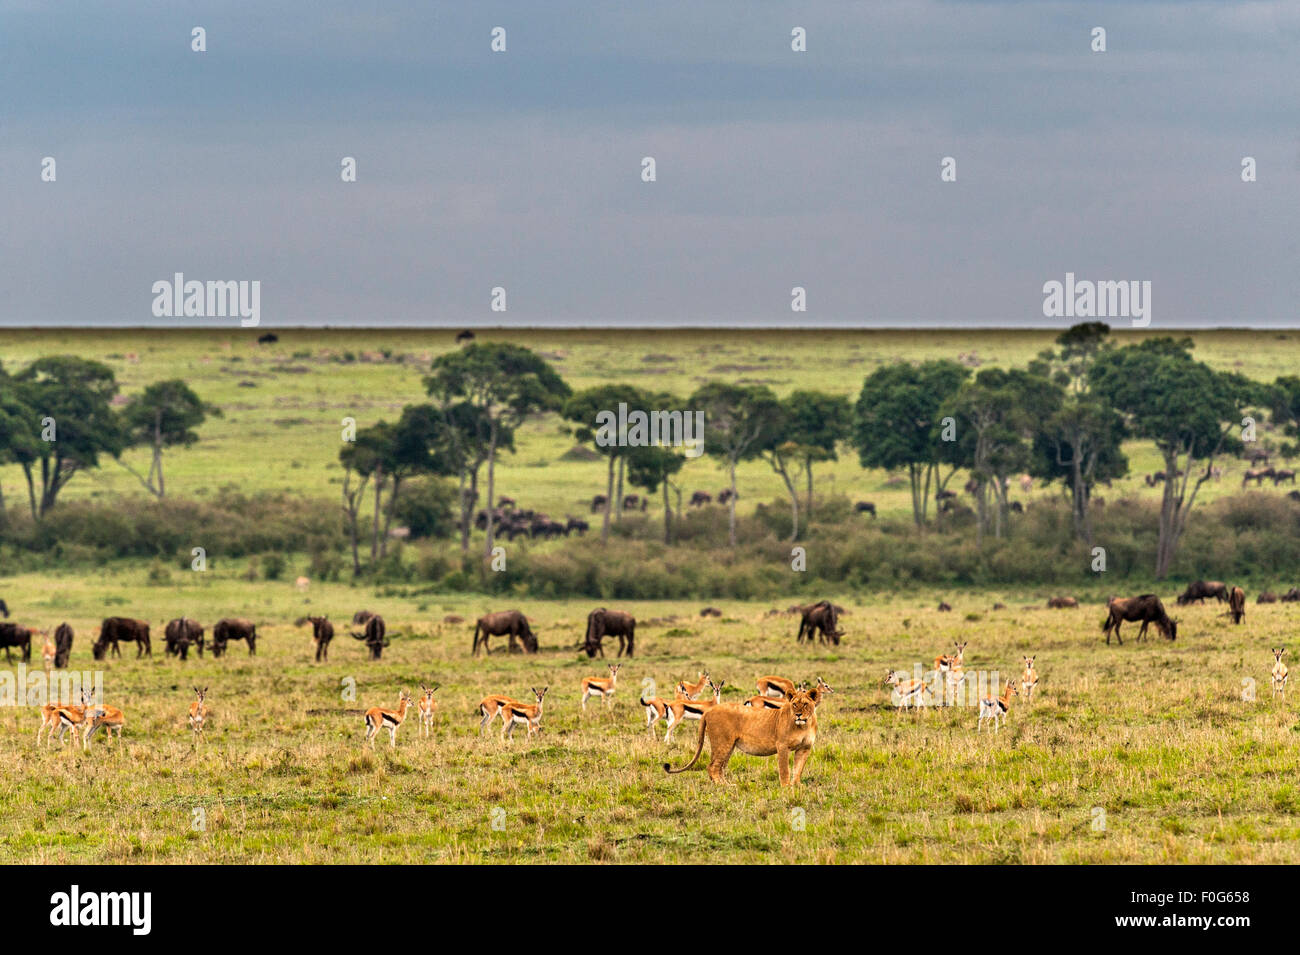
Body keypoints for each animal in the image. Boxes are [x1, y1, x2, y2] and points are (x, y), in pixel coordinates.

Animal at [663, 690, 817, 786]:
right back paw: (722, 786)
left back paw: (728, 784)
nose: (798, 715)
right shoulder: (782, 746)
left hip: (729, 745)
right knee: (712, 767)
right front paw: (786, 787)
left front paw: (797, 785)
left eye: (805, 704)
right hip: (722, 742)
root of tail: (709, 710)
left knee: (720, 767)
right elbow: (784, 768)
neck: (803, 726)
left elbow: (798, 768)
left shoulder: (805, 748)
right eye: (794, 704)